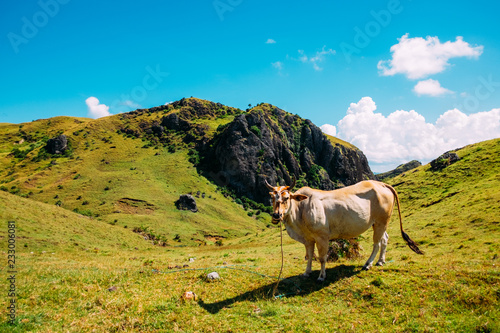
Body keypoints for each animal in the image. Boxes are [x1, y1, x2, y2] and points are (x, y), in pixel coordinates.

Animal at [264, 176, 424, 280]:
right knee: (385, 239)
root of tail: (382, 184)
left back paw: (368, 264)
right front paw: (306, 273)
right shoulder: (308, 239)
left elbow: (322, 258)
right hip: (379, 223)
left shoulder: (322, 237)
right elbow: (309, 256)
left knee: (377, 243)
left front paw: (321, 276)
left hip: (381, 221)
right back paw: (380, 261)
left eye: (286, 198)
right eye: (272, 198)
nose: (276, 215)